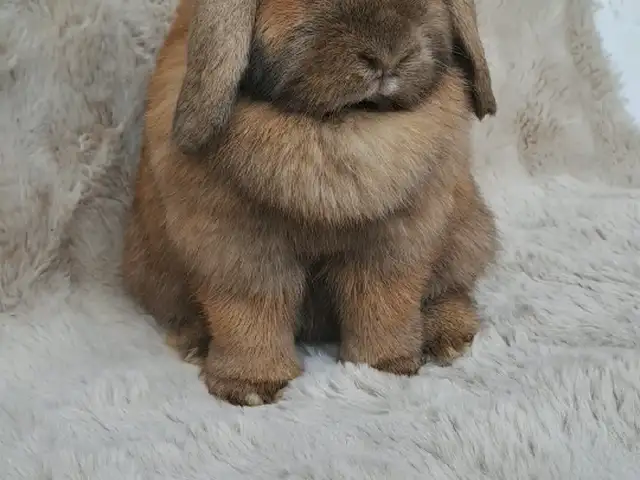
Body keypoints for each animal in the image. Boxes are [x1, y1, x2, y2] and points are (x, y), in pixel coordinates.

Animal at [122, 0, 498, 406]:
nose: (389, 57)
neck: (341, 124)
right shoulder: (239, 251)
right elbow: (249, 313)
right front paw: (250, 388)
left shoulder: (393, 244)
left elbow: (384, 301)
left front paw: (385, 366)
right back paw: (194, 343)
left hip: (466, 232)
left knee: (450, 289)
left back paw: (448, 339)